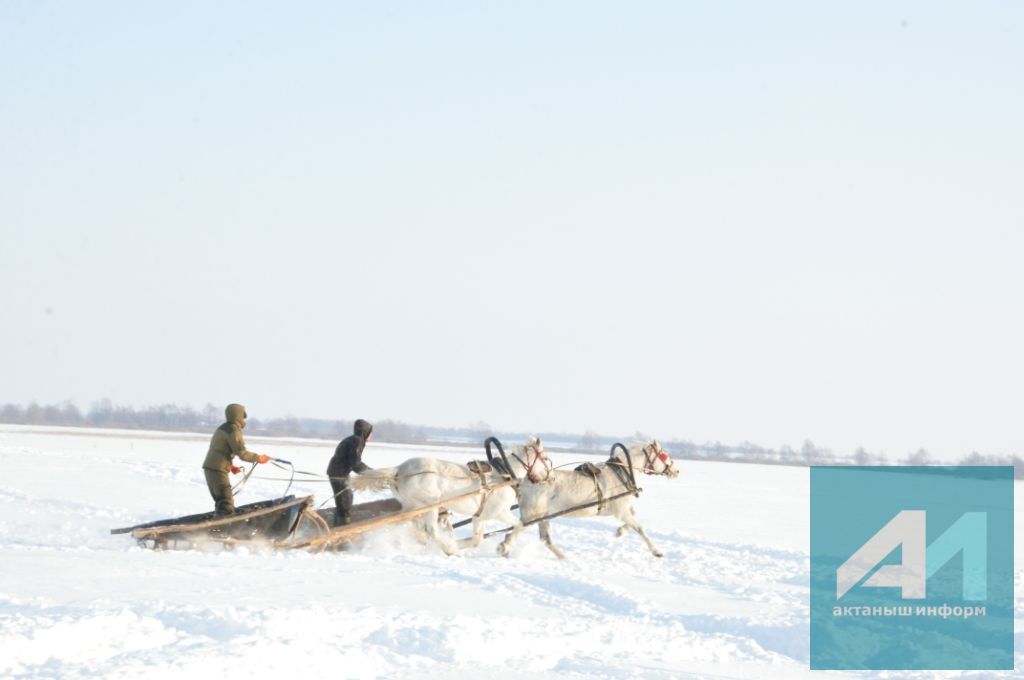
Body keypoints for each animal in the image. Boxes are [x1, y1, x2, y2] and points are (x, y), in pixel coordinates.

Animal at [350, 438, 548, 557]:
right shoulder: (499, 513)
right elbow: (520, 525)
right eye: (545, 458)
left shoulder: (479, 516)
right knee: (431, 529)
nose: (549, 476)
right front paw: (504, 546)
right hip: (429, 505)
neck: (503, 475)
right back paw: (447, 548)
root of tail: (399, 470)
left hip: (411, 506)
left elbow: (477, 540)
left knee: (405, 523)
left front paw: (459, 543)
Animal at [497, 440, 679, 557]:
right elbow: (640, 528)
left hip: (543, 515)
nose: (676, 471)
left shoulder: (622, 509)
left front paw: (620, 531)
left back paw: (565, 559)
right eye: (664, 455)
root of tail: (524, 481)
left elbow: (633, 517)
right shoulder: (620, 511)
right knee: (515, 531)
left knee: (544, 539)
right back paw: (503, 548)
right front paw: (657, 551)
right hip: (532, 515)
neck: (621, 473)